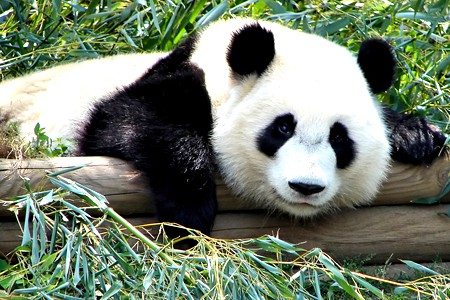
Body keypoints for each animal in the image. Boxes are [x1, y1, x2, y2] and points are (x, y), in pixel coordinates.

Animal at [0, 18, 446, 238]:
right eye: (282, 128)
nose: (305, 187)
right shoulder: (173, 77)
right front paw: (190, 209)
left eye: (340, 138)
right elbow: (123, 120)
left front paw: (417, 135)